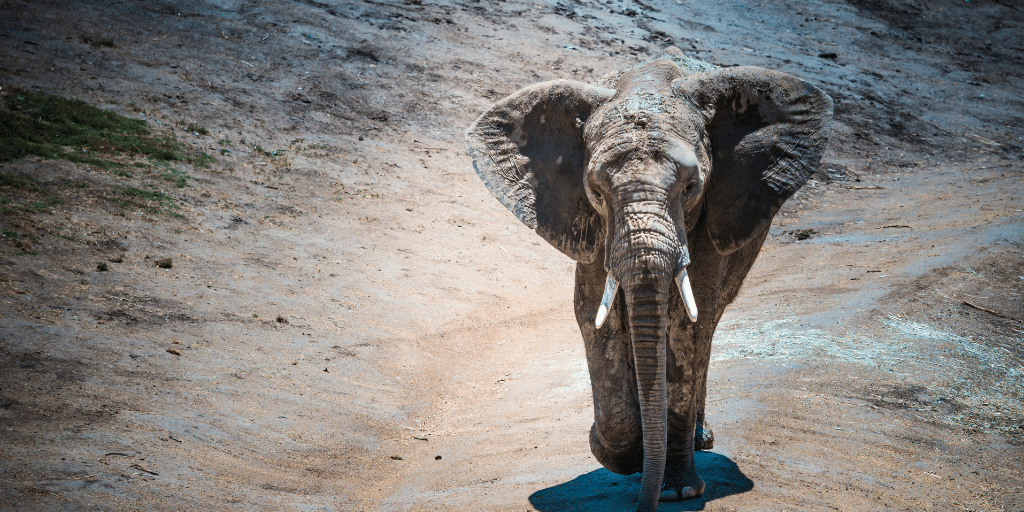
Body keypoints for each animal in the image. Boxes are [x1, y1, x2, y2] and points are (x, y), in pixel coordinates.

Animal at [464, 46, 831, 509]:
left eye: (691, 187)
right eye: (596, 191)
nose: (648, 500)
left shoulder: (709, 214)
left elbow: (686, 324)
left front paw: (676, 490)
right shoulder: (592, 226)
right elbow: (593, 315)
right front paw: (616, 452)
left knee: (708, 323)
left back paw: (699, 440)